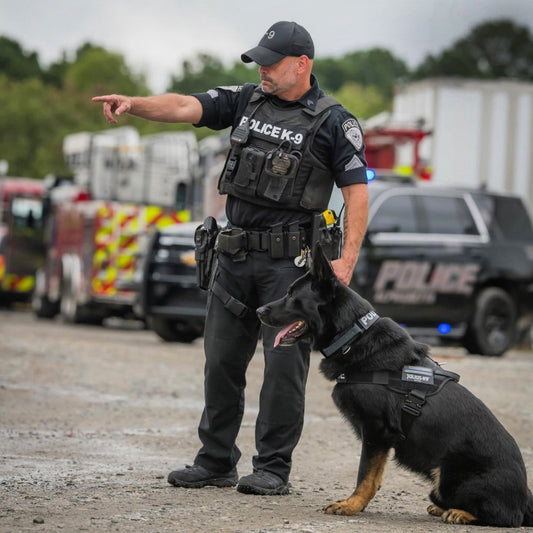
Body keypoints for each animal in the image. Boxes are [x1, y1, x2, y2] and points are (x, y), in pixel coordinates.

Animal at [256, 246, 528, 528]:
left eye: (291, 295)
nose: (257, 310)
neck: (353, 336)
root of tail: (525, 499)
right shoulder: (378, 437)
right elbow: (373, 477)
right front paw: (357, 504)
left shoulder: (376, 432)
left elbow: (365, 475)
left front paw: (351, 505)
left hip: (448, 474)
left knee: (506, 517)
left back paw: (459, 513)